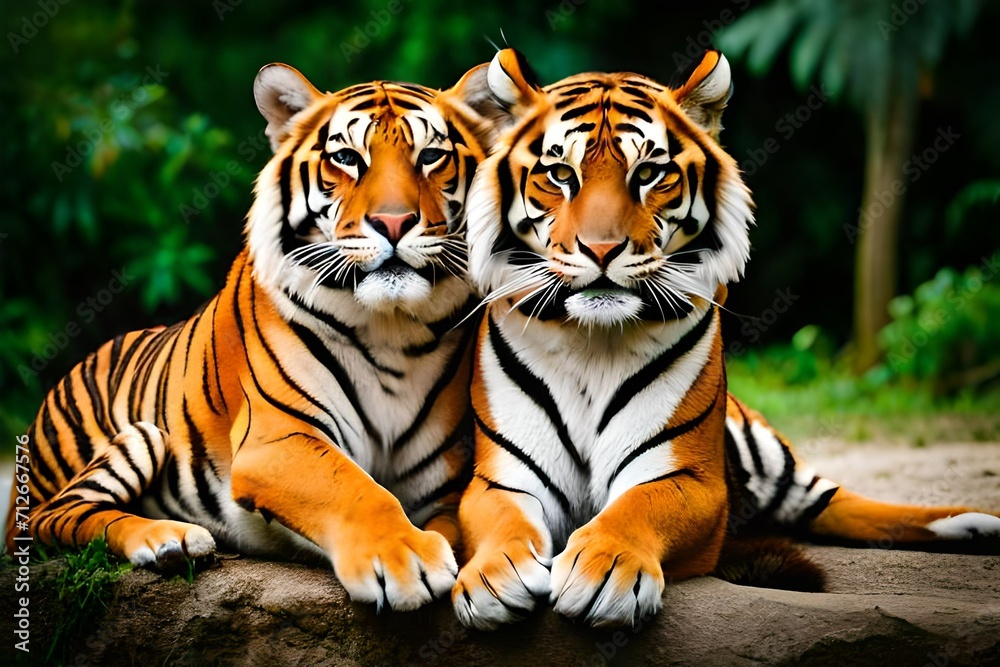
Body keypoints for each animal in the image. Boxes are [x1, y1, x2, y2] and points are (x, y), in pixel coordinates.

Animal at [4, 61, 500, 612]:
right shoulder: (278, 437)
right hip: (138, 438)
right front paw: (403, 558)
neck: (390, 326)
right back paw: (169, 540)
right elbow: (356, 487)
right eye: (347, 159)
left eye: (431, 156)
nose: (393, 223)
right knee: (57, 515)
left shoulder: (443, 481)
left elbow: (451, 526)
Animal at [451, 48, 1000, 629]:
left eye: (648, 173)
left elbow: (634, 509)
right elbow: (503, 522)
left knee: (833, 500)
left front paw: (606, 571)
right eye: (559, 174)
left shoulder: (688, 474)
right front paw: (493, 577)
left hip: (768, 454)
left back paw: (973, 523)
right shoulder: (503, 479)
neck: (593, 339)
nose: (601, 250)